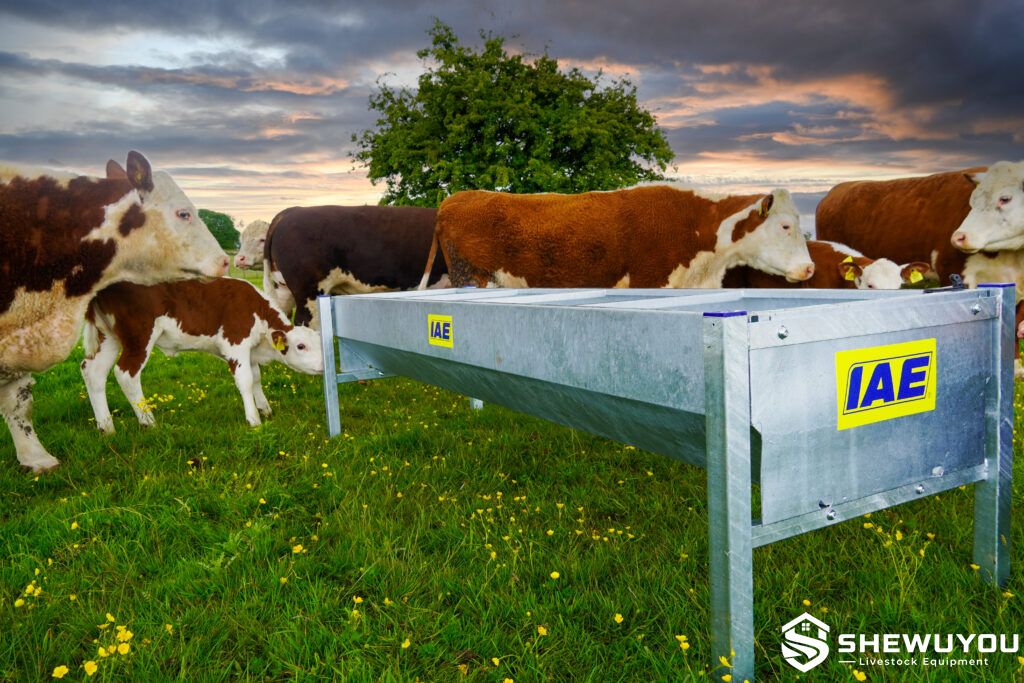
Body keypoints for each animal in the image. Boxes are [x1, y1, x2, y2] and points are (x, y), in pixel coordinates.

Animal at [1, 152, 229, 472]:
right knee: (125, 373)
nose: (225, 260)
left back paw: (106, 427)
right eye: (184, 213)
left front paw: (36, 459)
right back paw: (148, 422)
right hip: (138, 332)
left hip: (110, 335)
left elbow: (18, 400)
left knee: (92, 370)